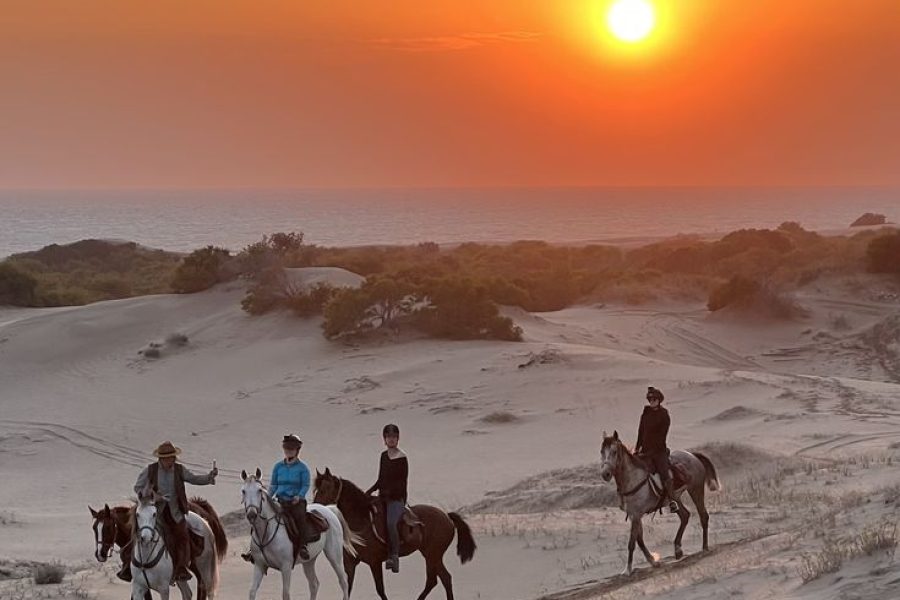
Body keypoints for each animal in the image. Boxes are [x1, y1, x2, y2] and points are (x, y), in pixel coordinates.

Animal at [89, 496, 229, 600]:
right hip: (181, 574)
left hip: (203, 567)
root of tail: (204, 521)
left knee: (204, 588)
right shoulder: (139, 585)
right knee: (188, 592)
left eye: (107, 528)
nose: (100, 554)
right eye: (94, 528)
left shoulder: (162, 588)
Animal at [243, 468, 362, 600]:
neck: (266, 533)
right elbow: (252, 592)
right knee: (314, 584)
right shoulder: (259, 565)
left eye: (259, 490)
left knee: (343, 581)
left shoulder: (286, 567)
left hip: (334, 555)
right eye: (243, 491)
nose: (252, 514)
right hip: (309, 560)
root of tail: (329, 509)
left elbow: (285, 594)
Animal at [312, 468, 474, 600]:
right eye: (316, 490)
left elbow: (380, 590)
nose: (314, 509)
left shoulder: (375, 562)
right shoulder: (350, 563)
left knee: (440, 579)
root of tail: (447, 517)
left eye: (326, 488)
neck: (361, 521)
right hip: (431, 555)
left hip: (433, 555)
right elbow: (348, 587)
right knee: (438, 580)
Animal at [600, 428, 720, 576]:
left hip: (696, 490)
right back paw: (678, 550)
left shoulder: (636, 515)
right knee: (685, 515)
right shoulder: (635, 515)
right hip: (675, 497)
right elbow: (639, 540)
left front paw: (628, 570)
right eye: (602, 451)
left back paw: (704, 548)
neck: (632, 478)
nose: (605, 474)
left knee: (703, 516)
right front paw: (653, 561)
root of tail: (692, 455)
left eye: (614, 452)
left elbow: (632, 543)